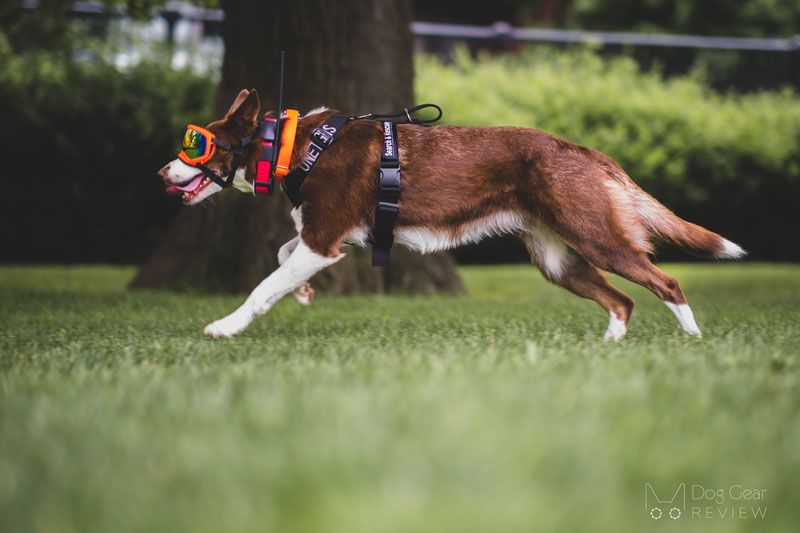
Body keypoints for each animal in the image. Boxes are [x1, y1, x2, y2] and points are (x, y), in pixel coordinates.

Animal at [159, 87, 748, 336]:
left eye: (197, 145)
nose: (163, 172)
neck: (293, 146)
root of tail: (580, 149)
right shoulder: (323, 239)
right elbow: (282, 259)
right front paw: (301, 293)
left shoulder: (324, 240)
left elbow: (262, 287)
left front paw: (225, 327)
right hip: (558, 261)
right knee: (622, 301)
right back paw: (608, 352)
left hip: (597, 238)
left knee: (666, 282)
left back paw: (693, 342)